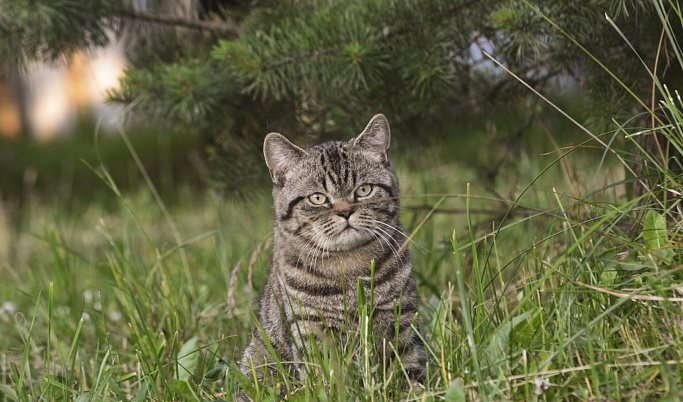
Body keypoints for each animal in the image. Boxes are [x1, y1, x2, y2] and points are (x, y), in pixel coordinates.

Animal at [238, 114, 424, 398]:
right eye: (317, 198)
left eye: (364, 190)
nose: (345, 212)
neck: (348, 265)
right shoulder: (310, 326)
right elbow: (326, 377)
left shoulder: (399, 314)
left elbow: (406, 364)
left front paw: (413, 391)